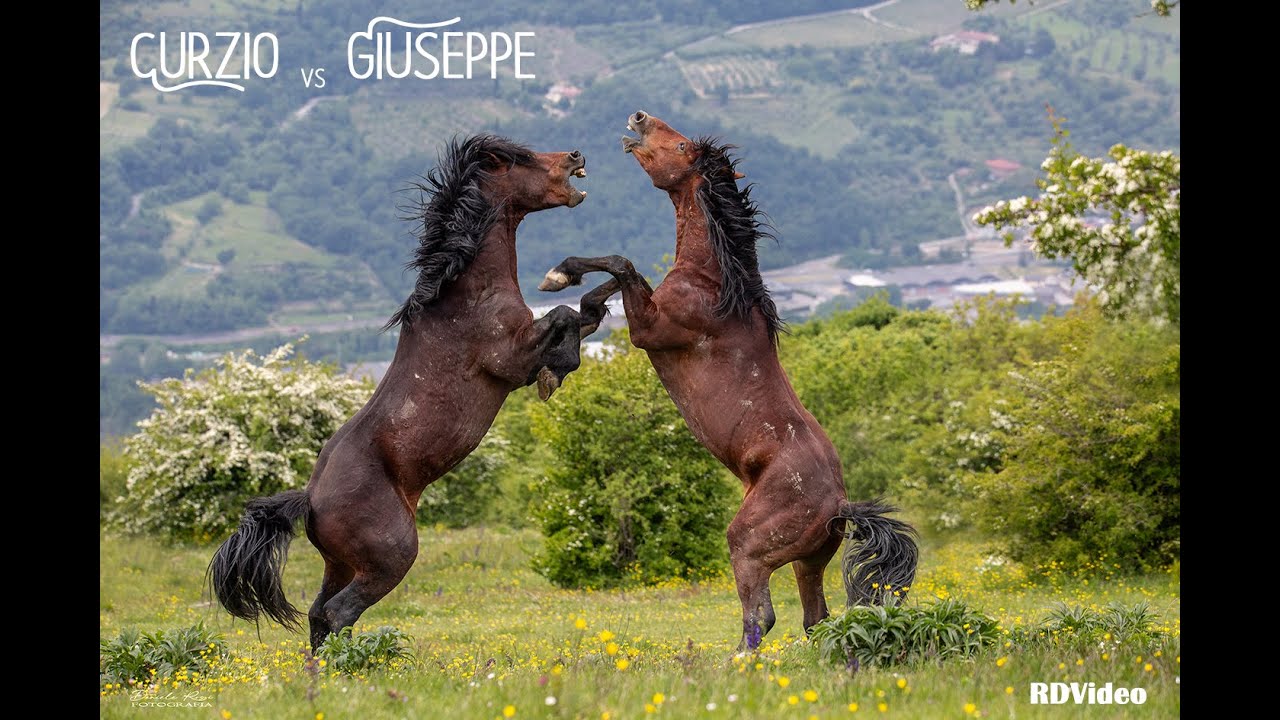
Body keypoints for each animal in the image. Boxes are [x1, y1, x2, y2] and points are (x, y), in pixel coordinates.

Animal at [210, 135, 616, 651]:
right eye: (520, 159)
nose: (575, 157)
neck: (464, 293)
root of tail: (310, 501)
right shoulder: (511, 360)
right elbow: (565, 317)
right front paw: (555, 372)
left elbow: (587, 310)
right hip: (391, 558)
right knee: (339, 613)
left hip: (340, 564)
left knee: (319, 615)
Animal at [539, 112, 919, 650]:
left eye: (680, 144)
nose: (638, 118)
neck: (715, 285)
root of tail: (841, 505)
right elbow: (612, 281)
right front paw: (570, 318)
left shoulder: (649, 330)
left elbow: (621, 265)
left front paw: (558, 279)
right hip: (808, 563)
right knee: (816, 618)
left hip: (749, 546)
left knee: (761, 616)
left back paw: (731, 663)